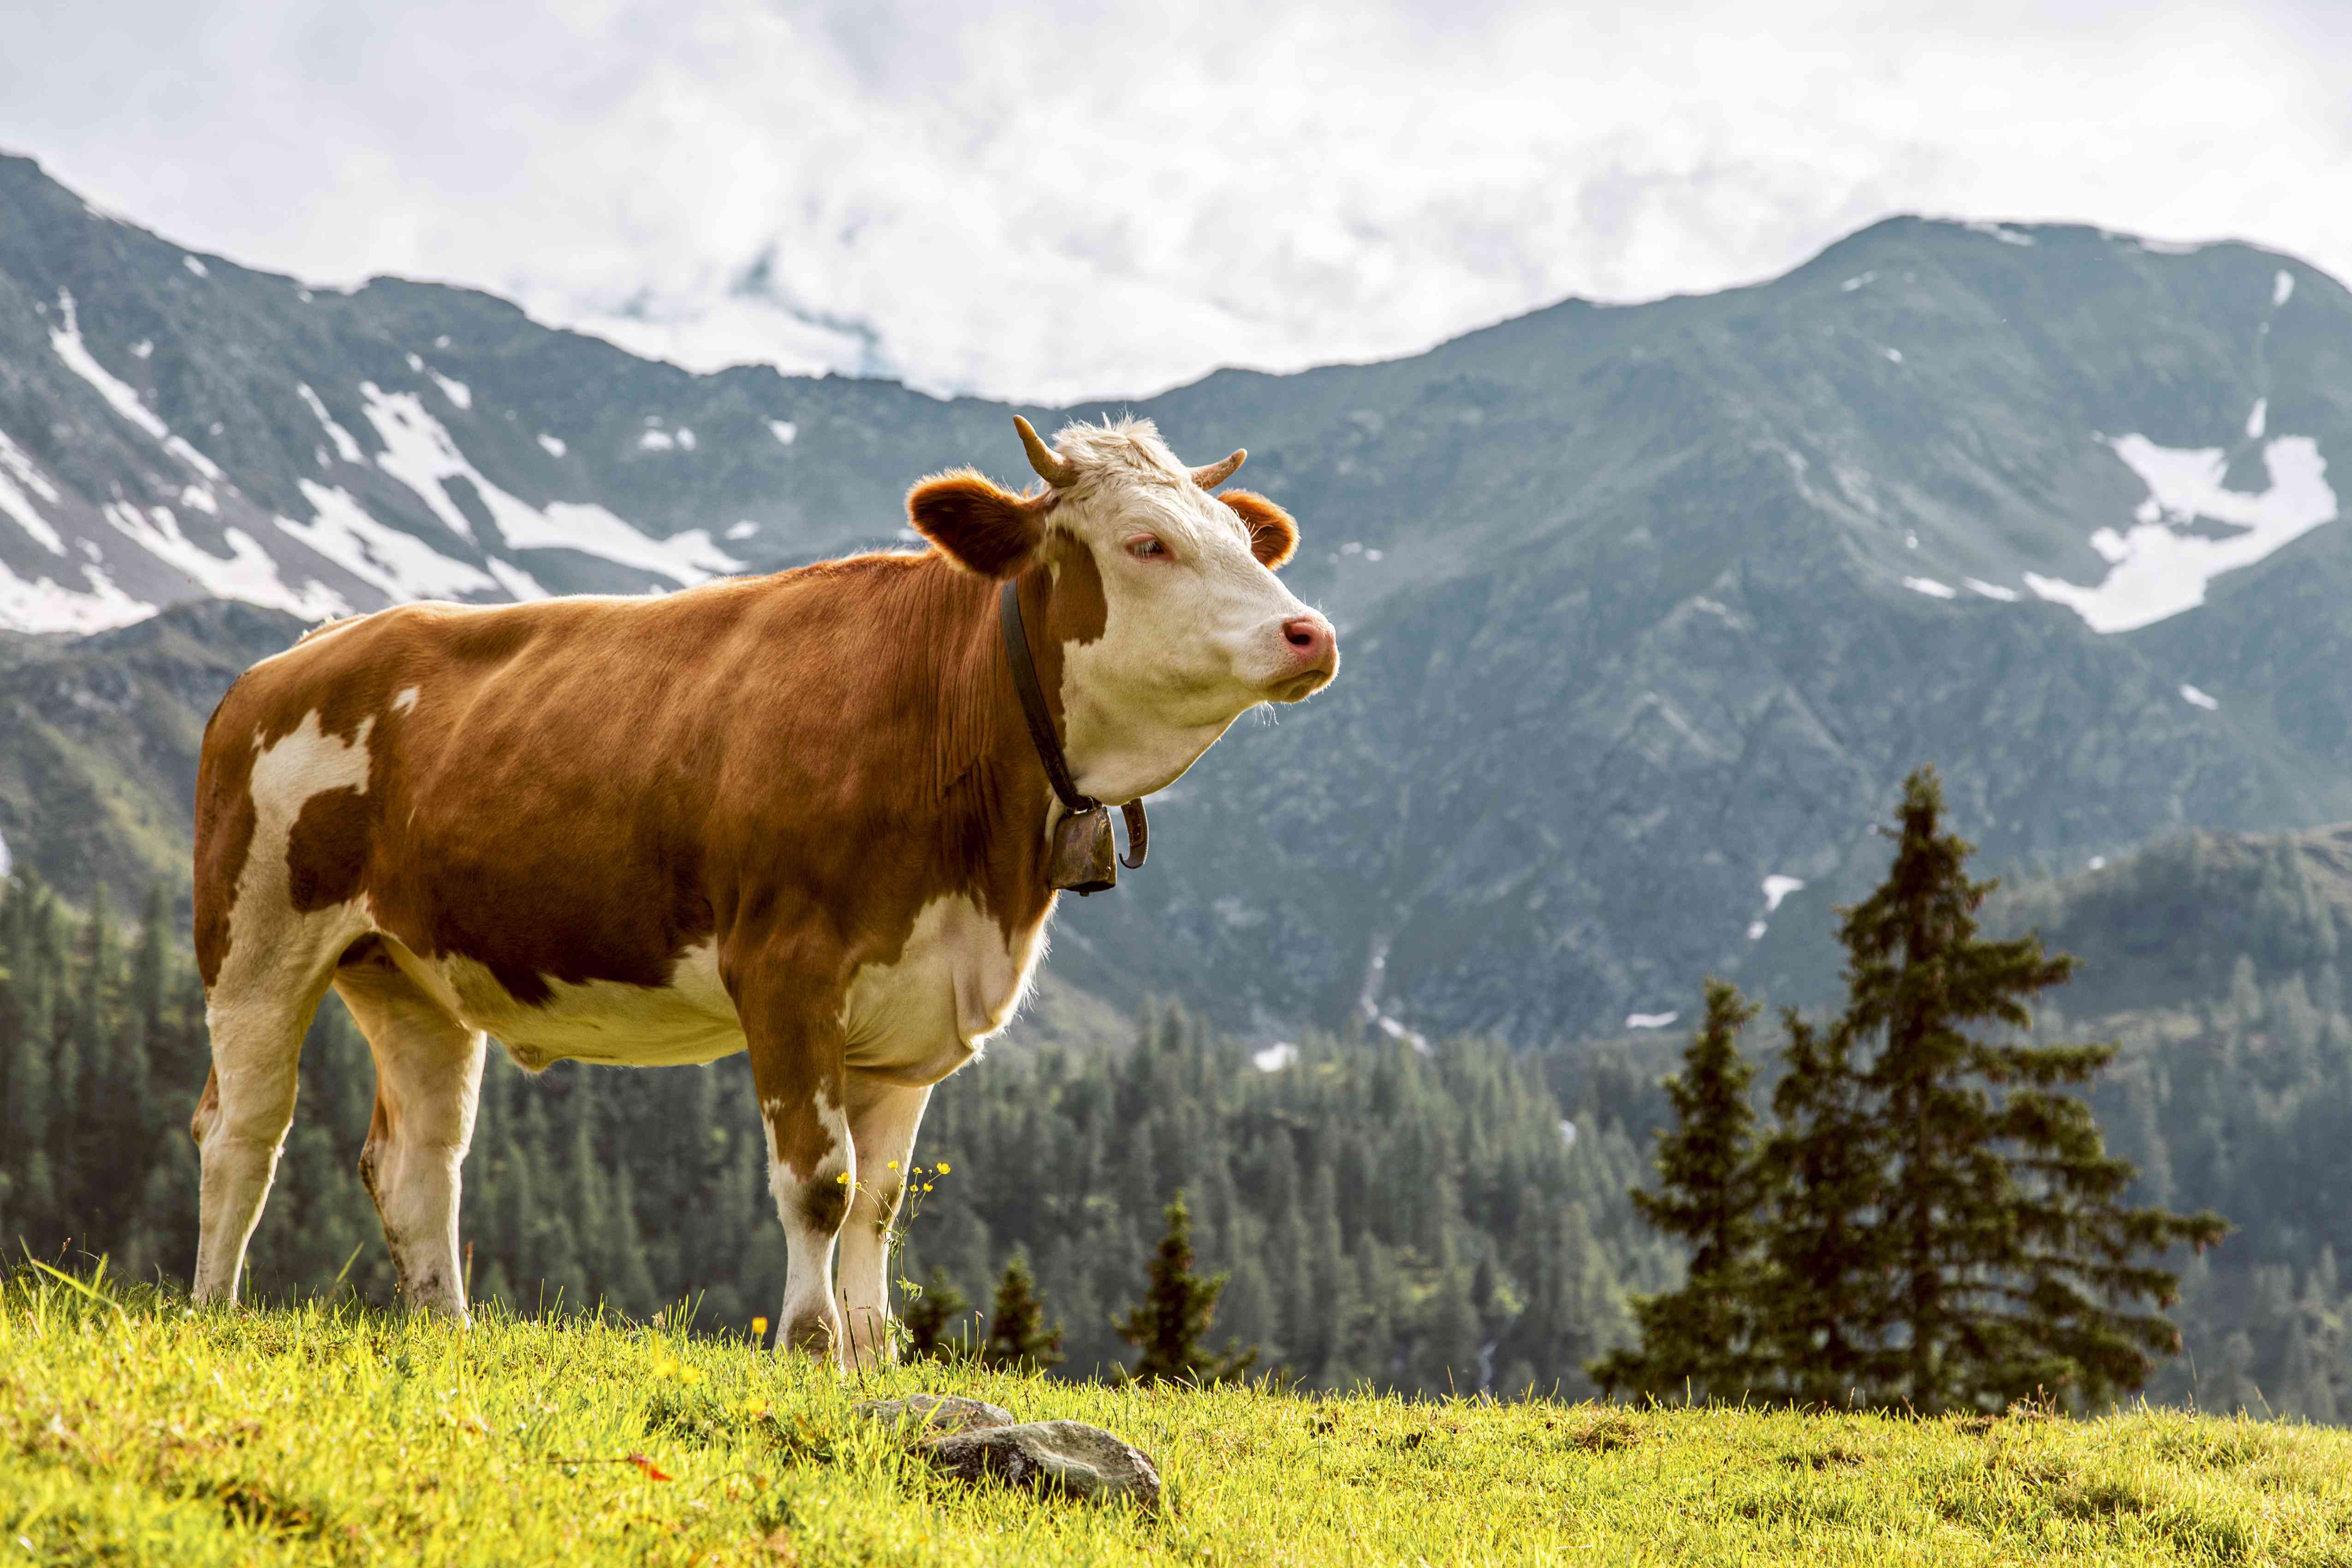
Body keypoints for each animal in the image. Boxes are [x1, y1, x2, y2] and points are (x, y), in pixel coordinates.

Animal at [190, 414, 1336, 1363]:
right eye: (1147, 543)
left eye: (1245, 544)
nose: (1311, 632)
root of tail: (289, 659)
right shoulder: (787, 969)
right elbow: (821, 1183)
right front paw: (811, 1343)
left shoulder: (915, 1002)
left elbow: (880, 1200)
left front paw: (875, 1359)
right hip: (257, 944)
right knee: (242, 1127)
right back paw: (216, 1309)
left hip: (409, 971)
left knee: (419, 1160)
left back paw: (447, 1329)